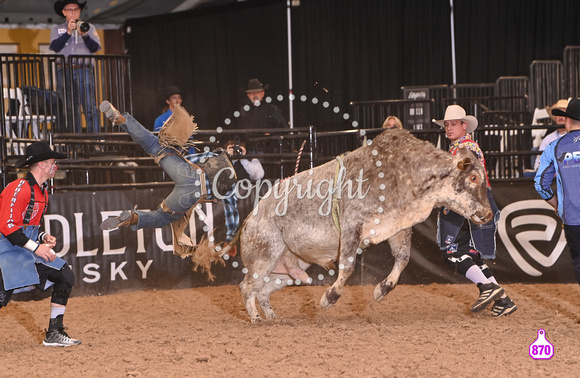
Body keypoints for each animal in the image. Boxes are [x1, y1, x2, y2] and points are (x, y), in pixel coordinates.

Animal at [233, 128, 492, 324]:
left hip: (287, 270)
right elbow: (347, 266)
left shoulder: (399, 226)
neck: (402, 171)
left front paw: (381, 290)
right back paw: (256, 319)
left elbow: (403, 258)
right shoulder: (352, 225)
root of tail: (251, 217)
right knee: (247, 287)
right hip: (263, 255)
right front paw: (329, 298)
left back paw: (272, 318)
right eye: (473, 178)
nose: (488, 214)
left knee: (262, 290)